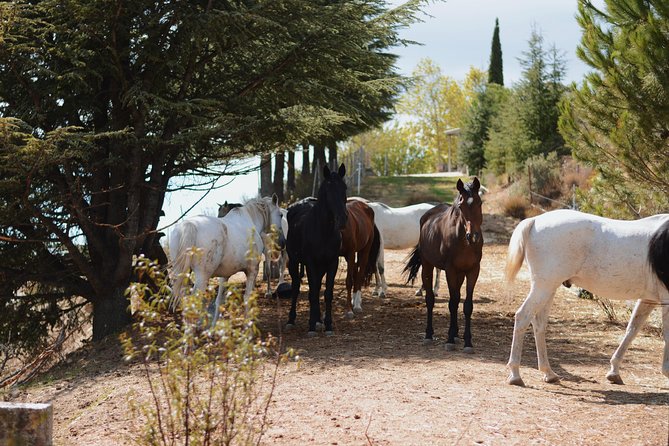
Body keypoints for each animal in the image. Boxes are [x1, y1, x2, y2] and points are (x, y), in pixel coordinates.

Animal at [284, 166, 348, 336]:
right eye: (328, 190)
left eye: (344, 188)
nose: (343, 218)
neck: (323, 230)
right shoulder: (311, 263)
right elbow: (312, 293)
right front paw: (311, 326)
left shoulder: (332, 263)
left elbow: (327, 293)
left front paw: (328, 325)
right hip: (294, 262)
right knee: (296, 287)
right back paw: (291, 320)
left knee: (317, 287)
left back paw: (319, 320)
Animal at [402, 178, 480, 352]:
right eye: (461, 206)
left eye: (480, 202)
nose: (473, 236)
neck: (464, 242)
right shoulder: (450, 270)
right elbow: (452, 303)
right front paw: (449, 339)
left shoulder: (473, 270)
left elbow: (467, 305)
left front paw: (467, 342)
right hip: (427, 266)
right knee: (430, 299)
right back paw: (429, 335)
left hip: (460, 274)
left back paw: (456, 334)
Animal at [506, 209, 668, 386]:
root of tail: (535, 220)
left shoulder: (649, 299)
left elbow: (632, 330)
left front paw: (614, 371)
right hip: (544, 287)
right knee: (523, 317)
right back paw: (515, 374)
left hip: (548, 288)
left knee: (539, 323)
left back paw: (548, 373)